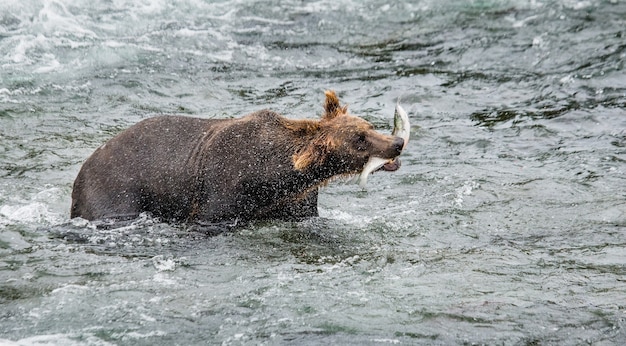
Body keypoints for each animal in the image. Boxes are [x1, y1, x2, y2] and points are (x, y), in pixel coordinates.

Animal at [70, 90, 404, 223]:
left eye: (368, 126)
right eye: (359, 139)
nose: (397, 142)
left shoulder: (292, 200)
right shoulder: (221, 187)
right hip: (116, 189)